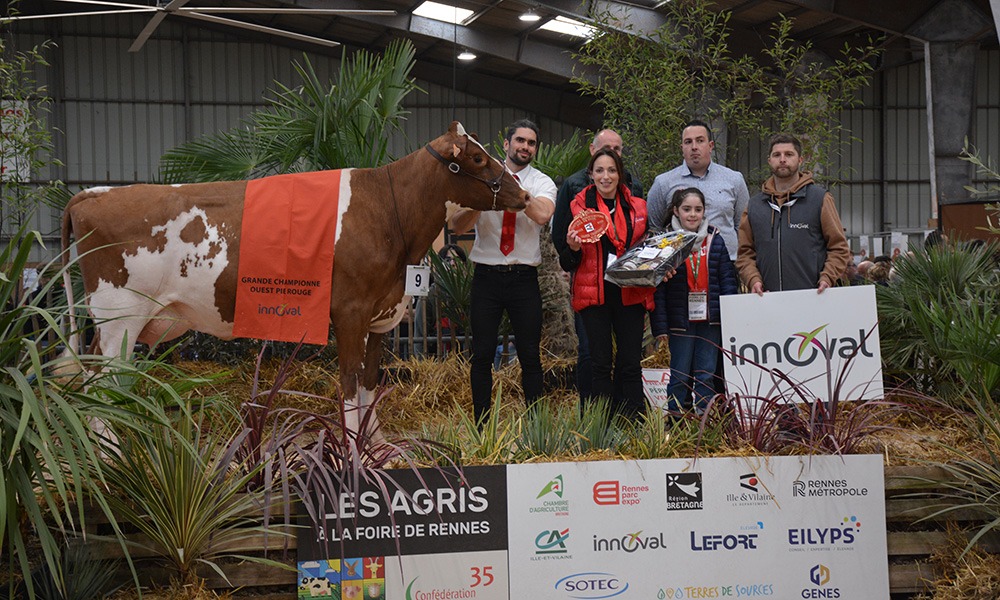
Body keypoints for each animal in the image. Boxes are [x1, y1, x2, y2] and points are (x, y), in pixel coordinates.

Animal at [60, 122, 532, 436]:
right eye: (476, 158)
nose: (524, 194)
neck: (390, 213)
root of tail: (91, 193)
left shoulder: (381, 315)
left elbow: (369, 381)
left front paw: (374, 446)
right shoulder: (350, 312)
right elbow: (348, 381)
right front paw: (351, 451)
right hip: (119, 316)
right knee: (101, 381)